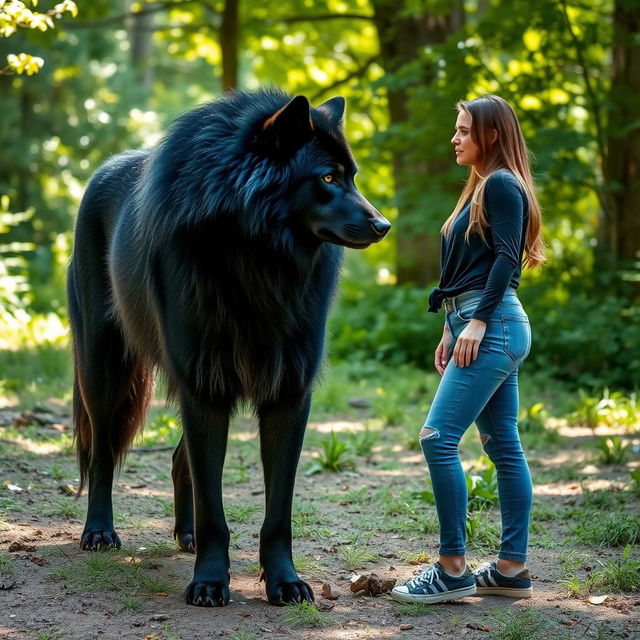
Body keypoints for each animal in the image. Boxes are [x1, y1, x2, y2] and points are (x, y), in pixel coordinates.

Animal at [70, 89, 390, 604]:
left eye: (353, 177)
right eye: (327, 178)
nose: (384, 225)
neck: (255, 260)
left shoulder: (288, 393)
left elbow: (277, 513)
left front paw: (285, 582)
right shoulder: (204, 388)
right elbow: (214, 510)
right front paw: (208, 582)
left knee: (178, 460)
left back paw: (185, 535)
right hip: (104, 370)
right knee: (102, 454)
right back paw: (99, 532)